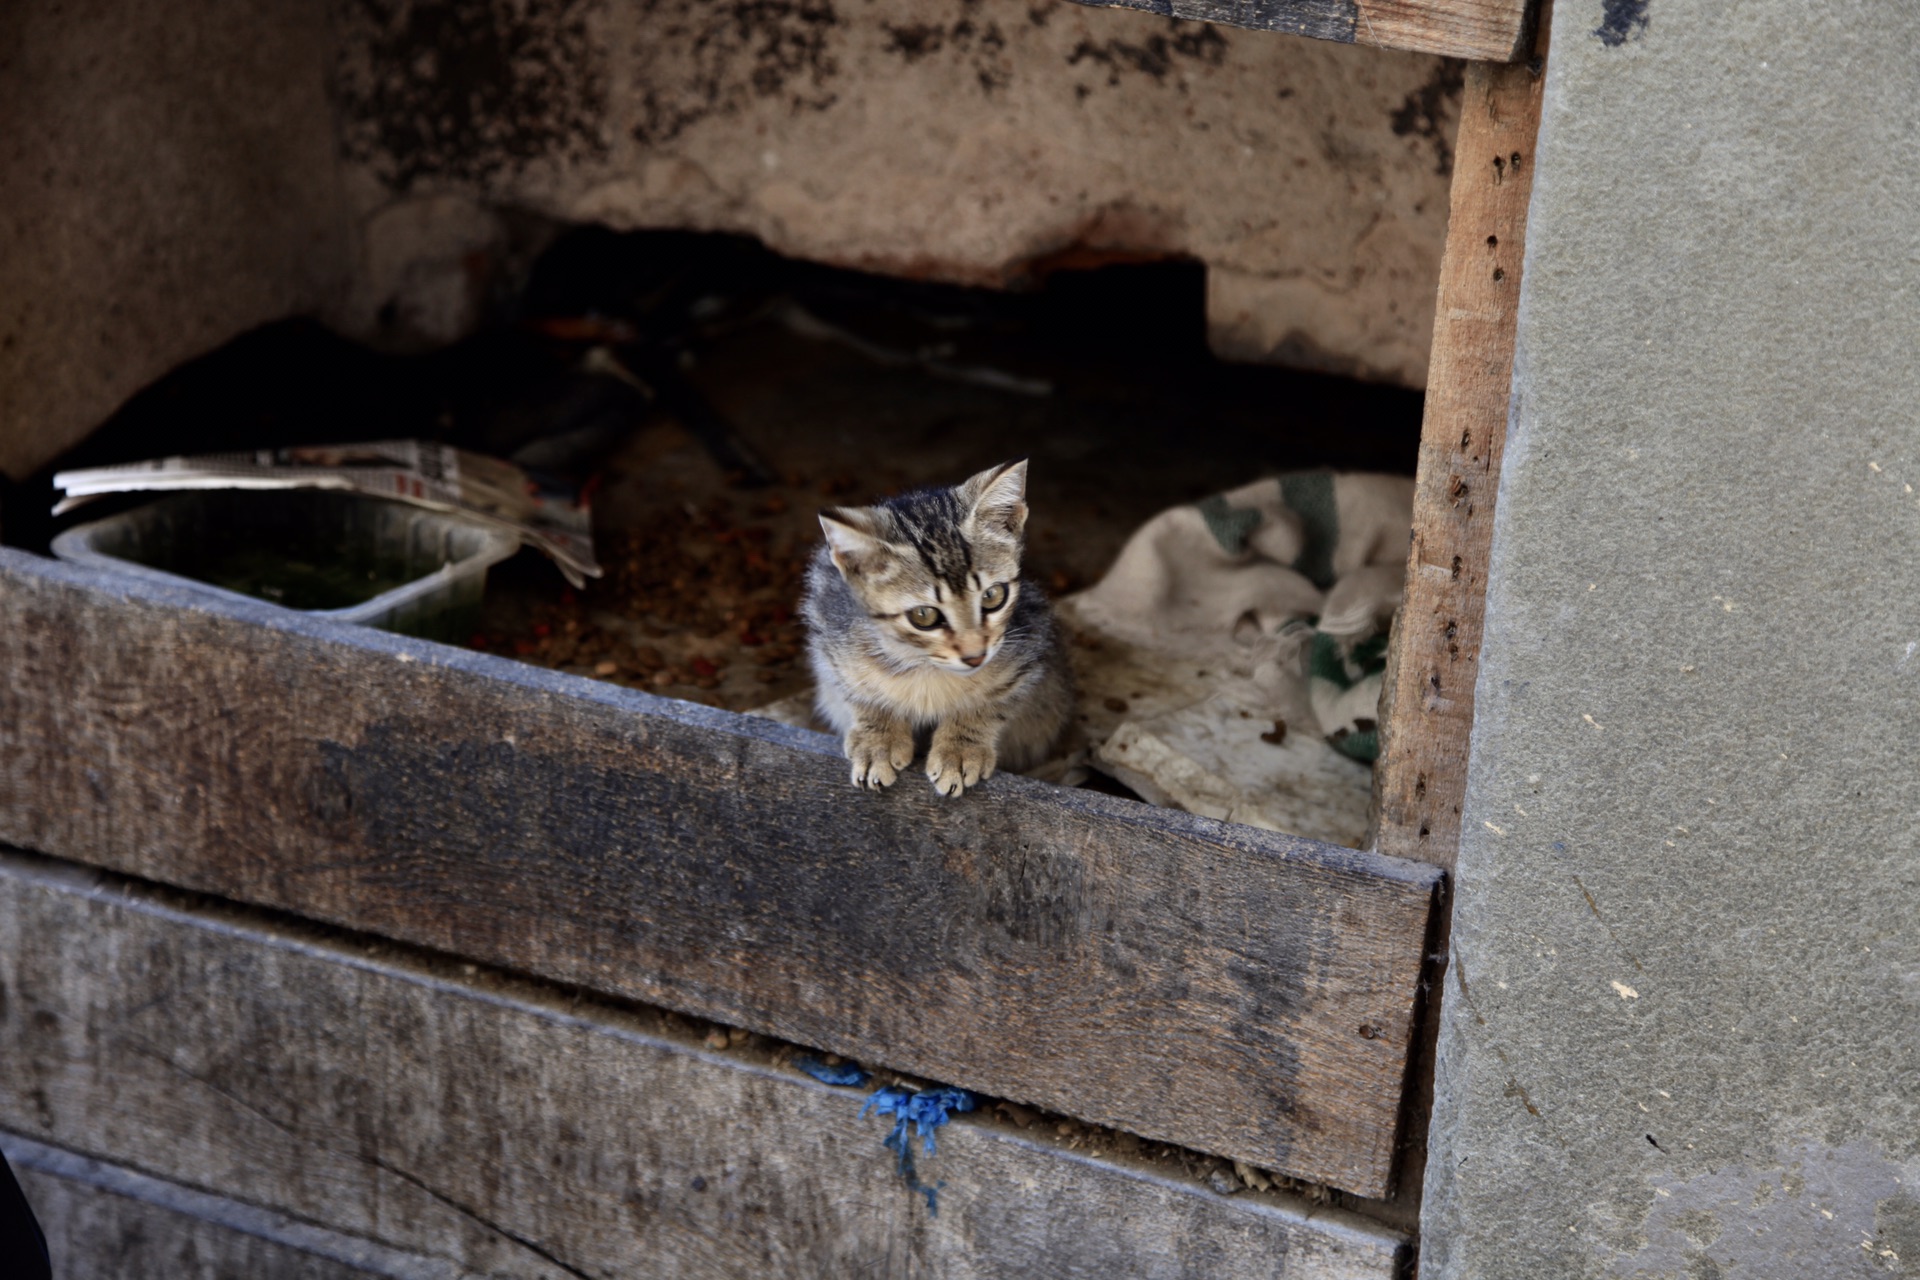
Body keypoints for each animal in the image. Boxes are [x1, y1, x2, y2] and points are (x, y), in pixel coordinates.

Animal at [802, 460, 1075, 794]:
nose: (975, 656)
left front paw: (960, 750)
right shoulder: (829, 637)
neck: (924, 666)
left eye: (993, 596)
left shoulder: (1031, 645)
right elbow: (859, 693)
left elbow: (991, 701)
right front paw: (878, 741)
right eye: (924, 615)